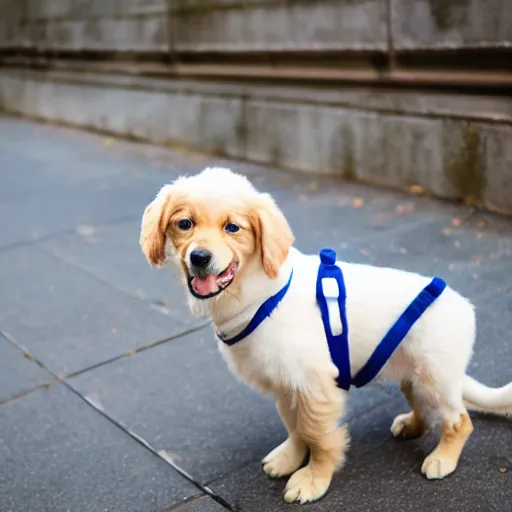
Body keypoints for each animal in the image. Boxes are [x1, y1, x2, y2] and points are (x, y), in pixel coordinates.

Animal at [140, 168, 512, 504]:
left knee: (459, 421)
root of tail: (464, 305)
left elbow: (317, 437)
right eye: (184, 223)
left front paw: (313, 478)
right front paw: (289, 458)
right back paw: (411, 426)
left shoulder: (315, 387)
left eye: (233, 227)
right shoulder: (287, 384)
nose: (199, 258)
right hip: (413, 375)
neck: (259, 295)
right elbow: (295, 428)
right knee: (426, 410)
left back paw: (442, 459)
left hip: (434, 378)